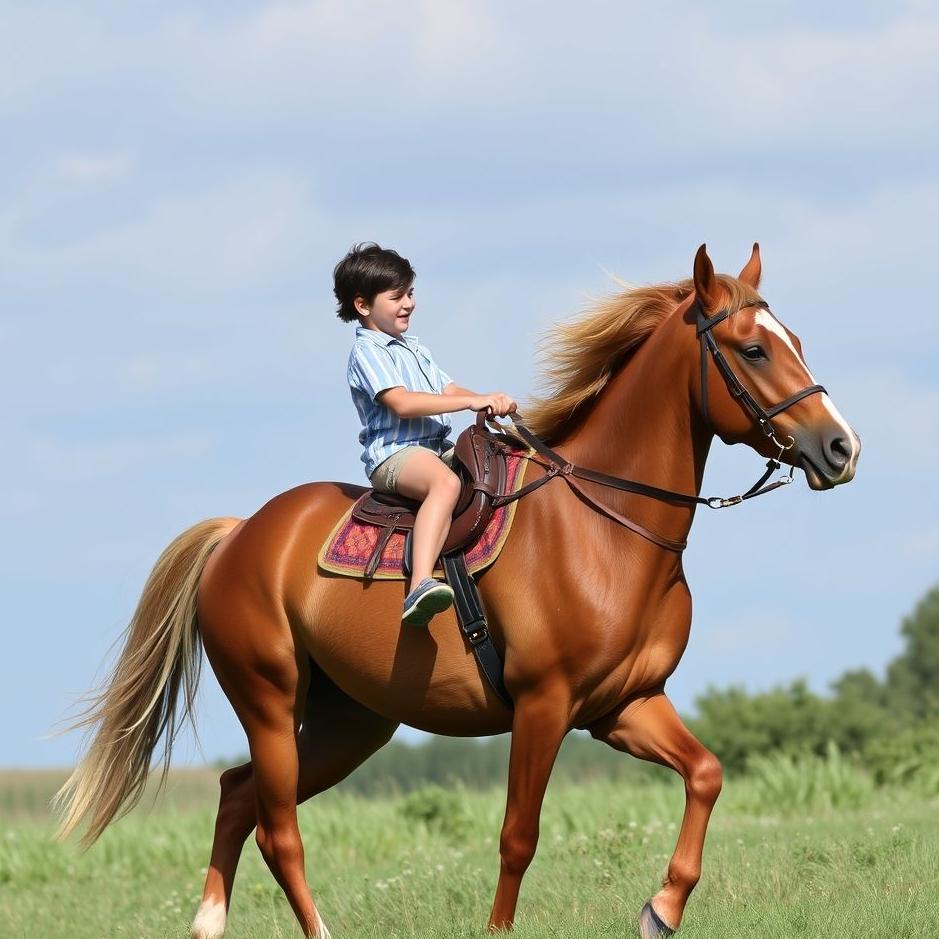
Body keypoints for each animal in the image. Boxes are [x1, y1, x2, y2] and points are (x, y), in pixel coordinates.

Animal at [55, 244, 860, 938]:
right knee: (278, 828)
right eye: (753, 349)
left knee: (235, 793)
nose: (840, 447)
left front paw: (661, 908)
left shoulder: (624, 704)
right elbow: (517, 834)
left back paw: (208, 922)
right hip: (270, 702)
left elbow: (706, 774)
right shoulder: (543, 705)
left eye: (793, 339)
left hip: (349, 724)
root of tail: (239, 535)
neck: (605, 527)